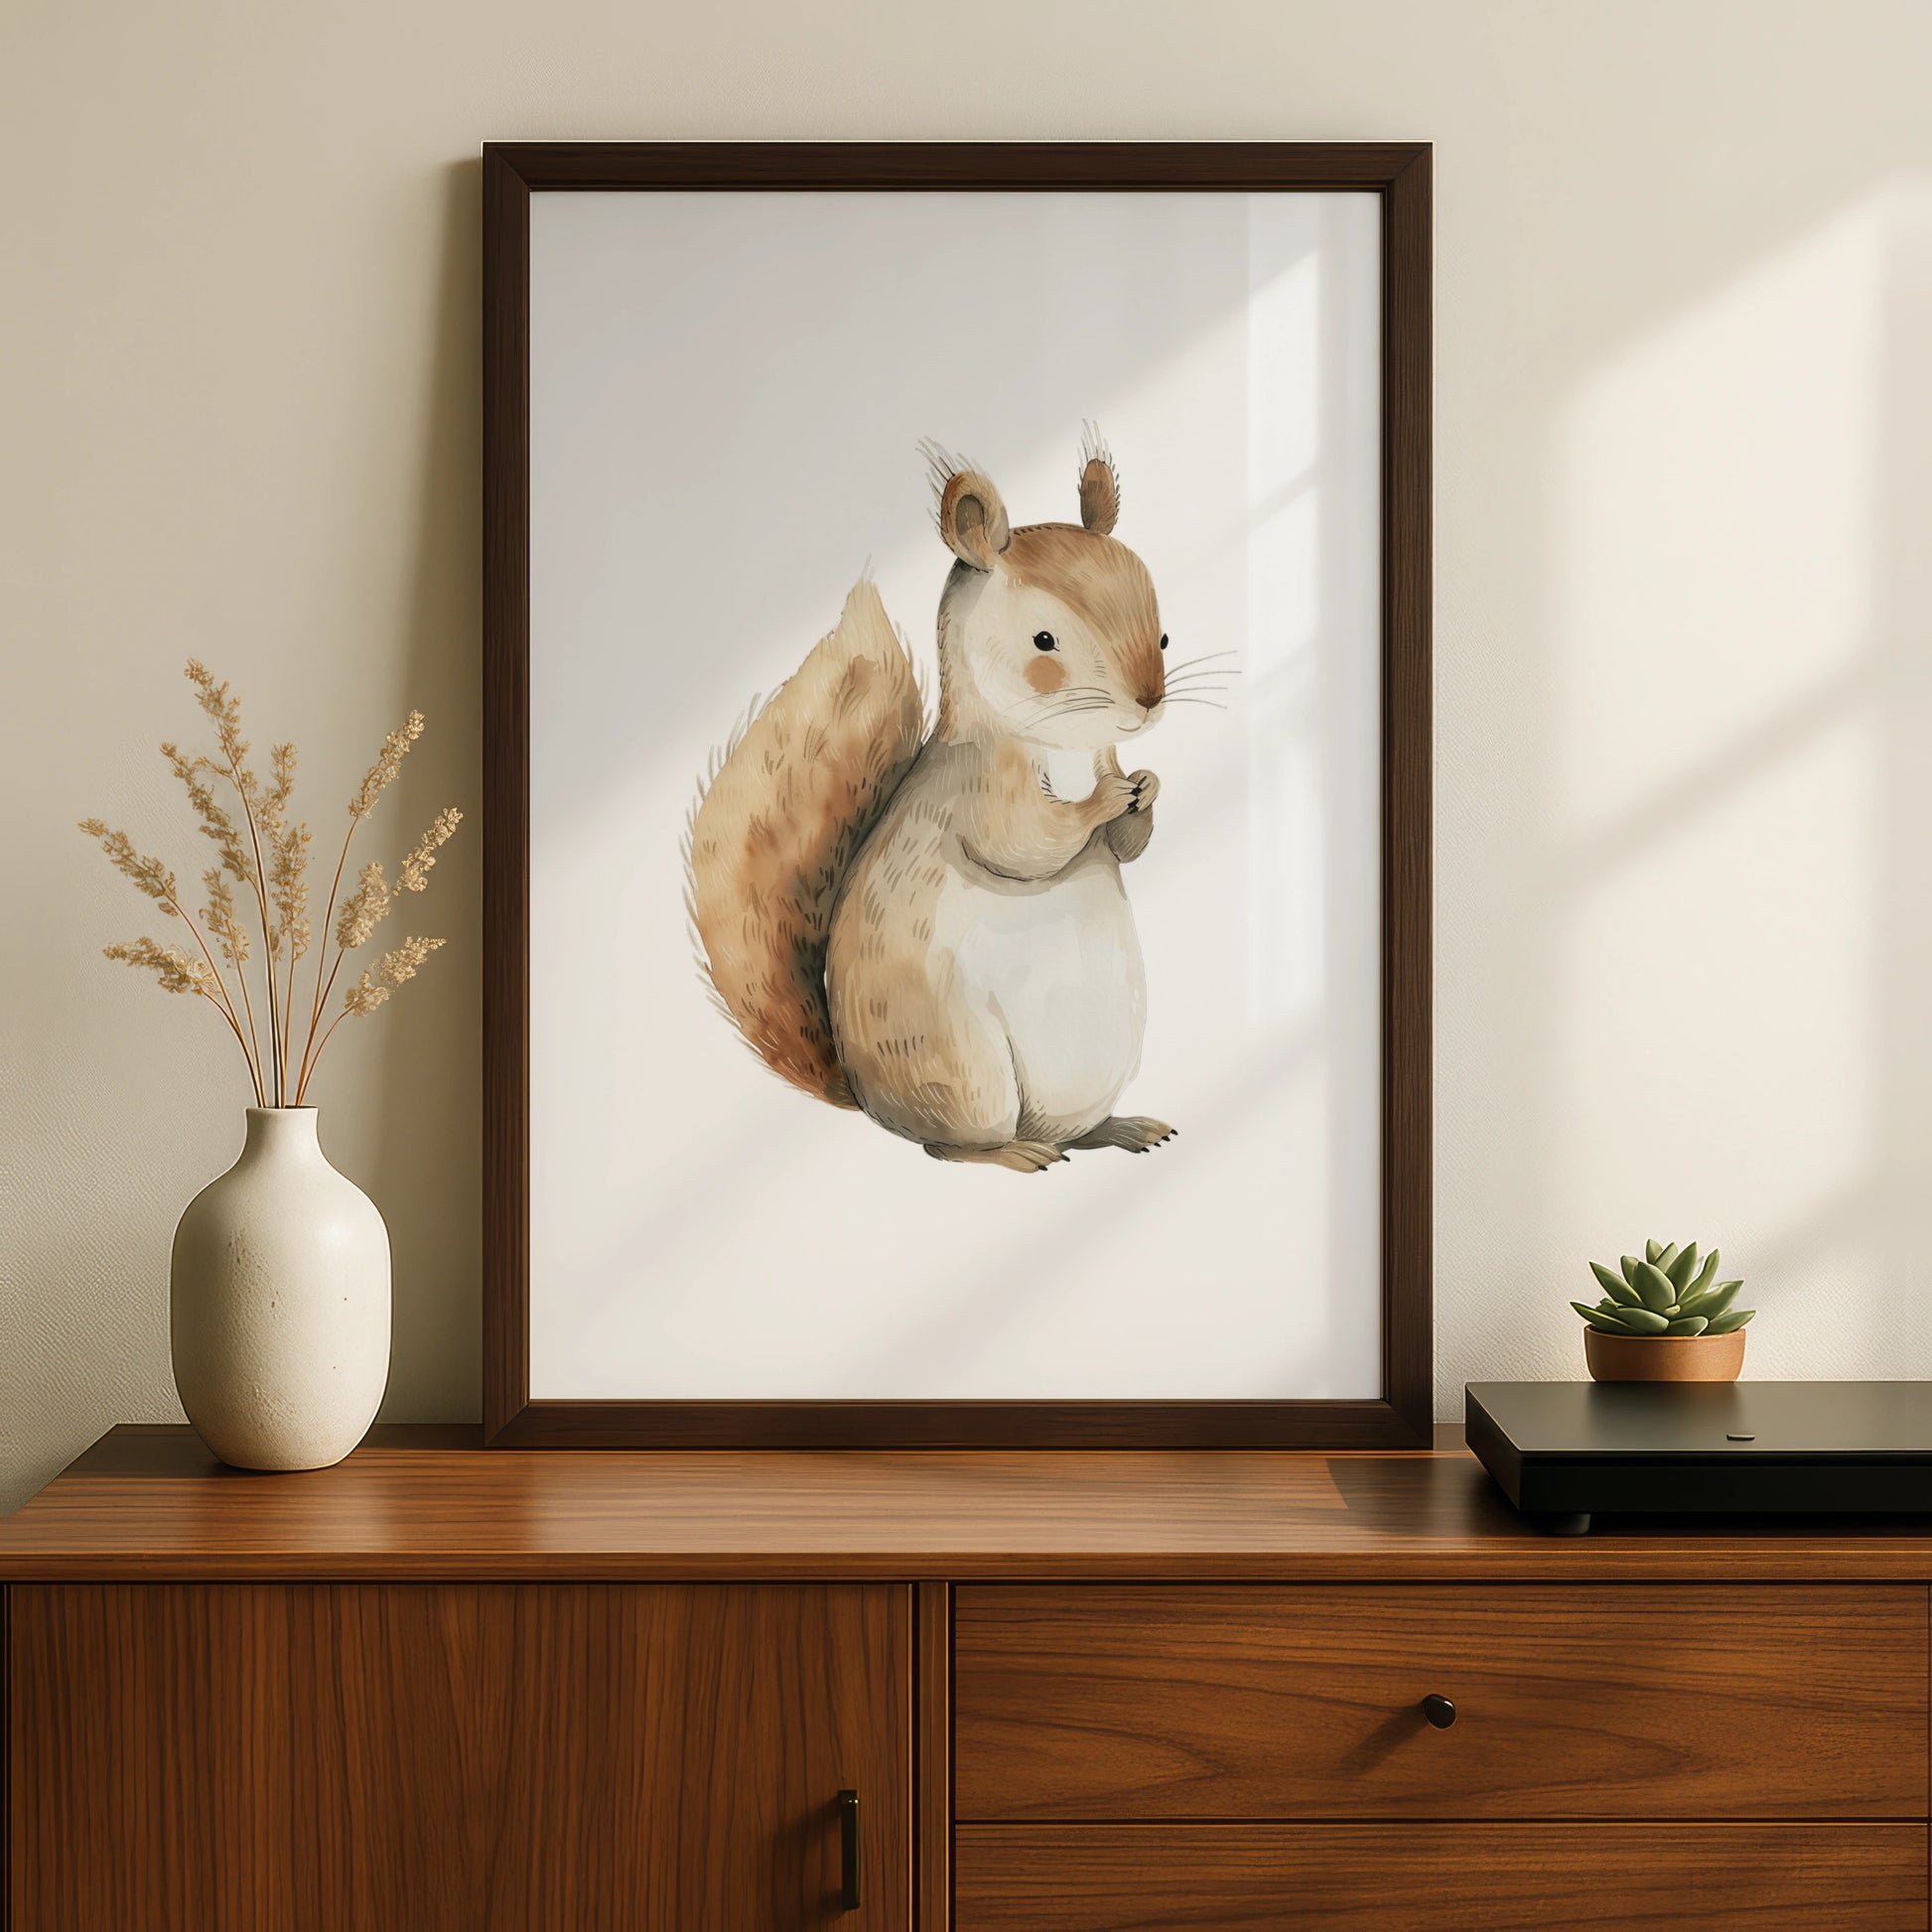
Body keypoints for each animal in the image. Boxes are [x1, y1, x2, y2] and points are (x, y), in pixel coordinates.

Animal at [685, 433, 1176, 1173]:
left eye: (1165, 633)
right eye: (1044, 642)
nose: (1147, 702)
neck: (1064, 748)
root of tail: (868, 1100)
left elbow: (1125, 846)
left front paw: (1145, 788)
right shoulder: (980, 793)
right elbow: (1027, 842)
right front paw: (1105, 801)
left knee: (1068, 1130)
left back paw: (1120, 1128)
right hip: (965, 1069)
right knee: (945, 1146)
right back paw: (1015, 1154)